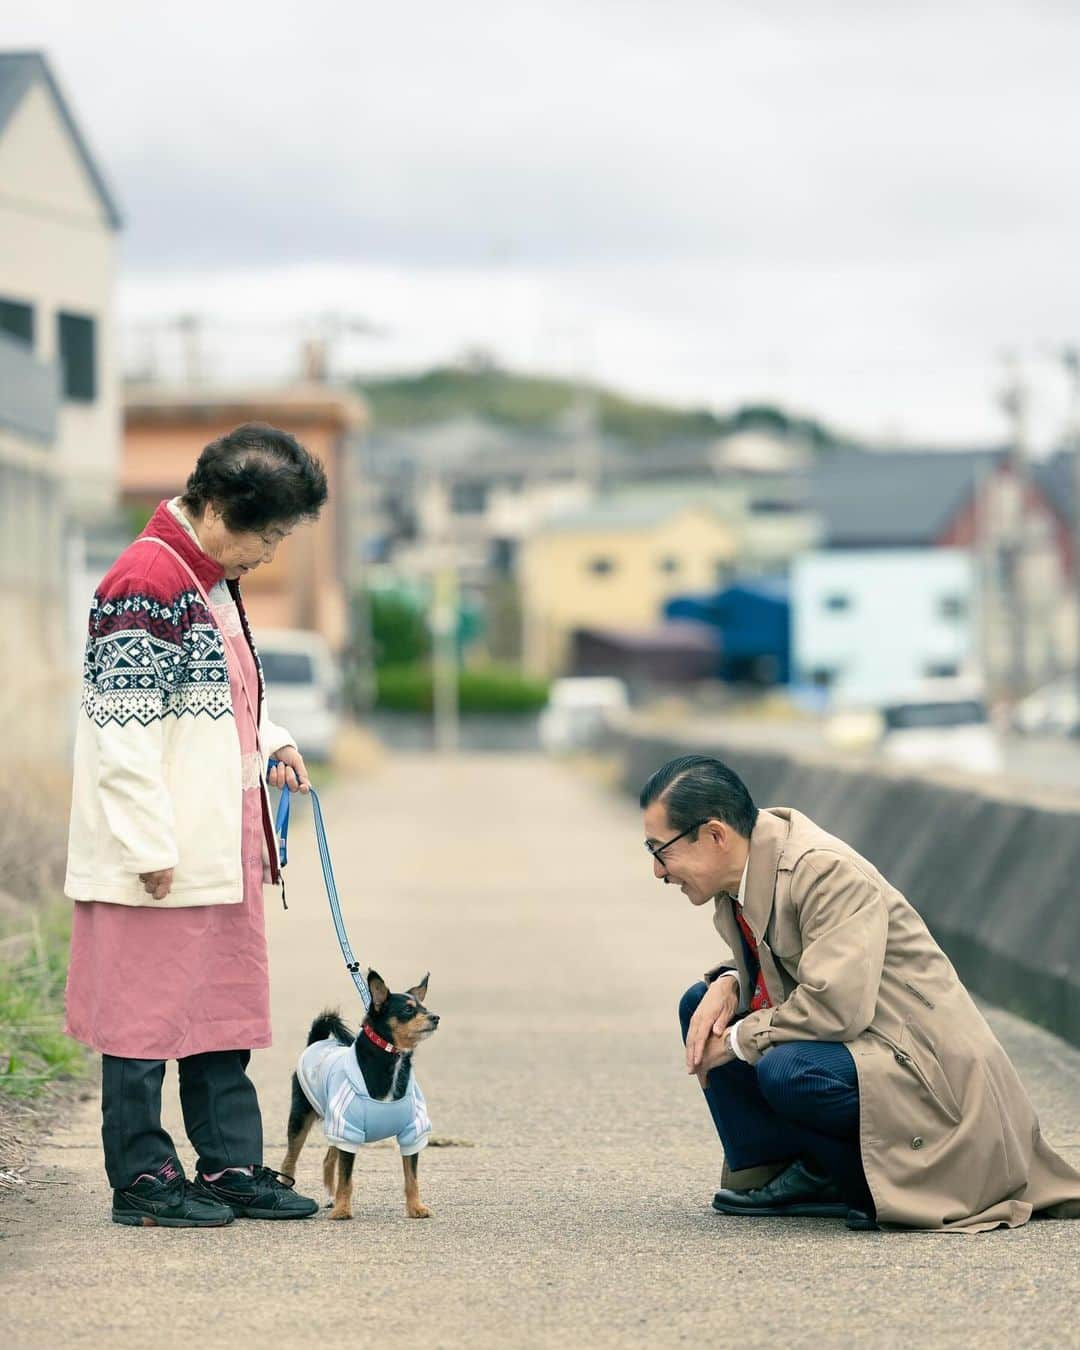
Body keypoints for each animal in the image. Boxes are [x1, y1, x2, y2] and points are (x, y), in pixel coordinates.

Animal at [286, 966, 442, 1220]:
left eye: (424, 1007)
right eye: (408, 1009)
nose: (435, 1017)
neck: (392, 1059)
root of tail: (316, 1042)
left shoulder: (412, 1132)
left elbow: (411, 1177)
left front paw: (416, 1207)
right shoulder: (348, 1131)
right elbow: (346, 1177)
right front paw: (342, 1210)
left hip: (334, 1123)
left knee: (328, 1159)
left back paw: (331, 1196)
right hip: (301, 1117)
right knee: (290, 1160)